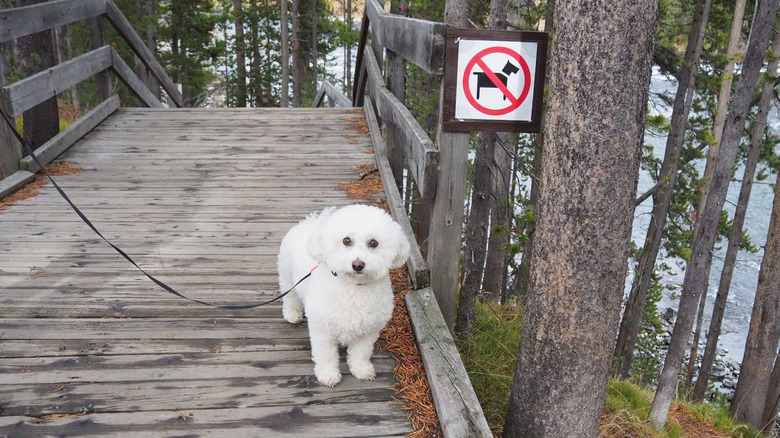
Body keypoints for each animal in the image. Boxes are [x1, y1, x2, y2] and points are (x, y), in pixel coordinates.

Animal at [278, 204, 412, 384]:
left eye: (373, 243)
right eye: (346, 240)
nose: (358, 264)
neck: (354, 287)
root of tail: (311, 223)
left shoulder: (368, 331)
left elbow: (361, 353)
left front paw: (361, 370)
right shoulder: (322, 331)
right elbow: (326, 355)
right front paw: (328, 374)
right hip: (287, 276)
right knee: (290, 296)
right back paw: (292, 314)